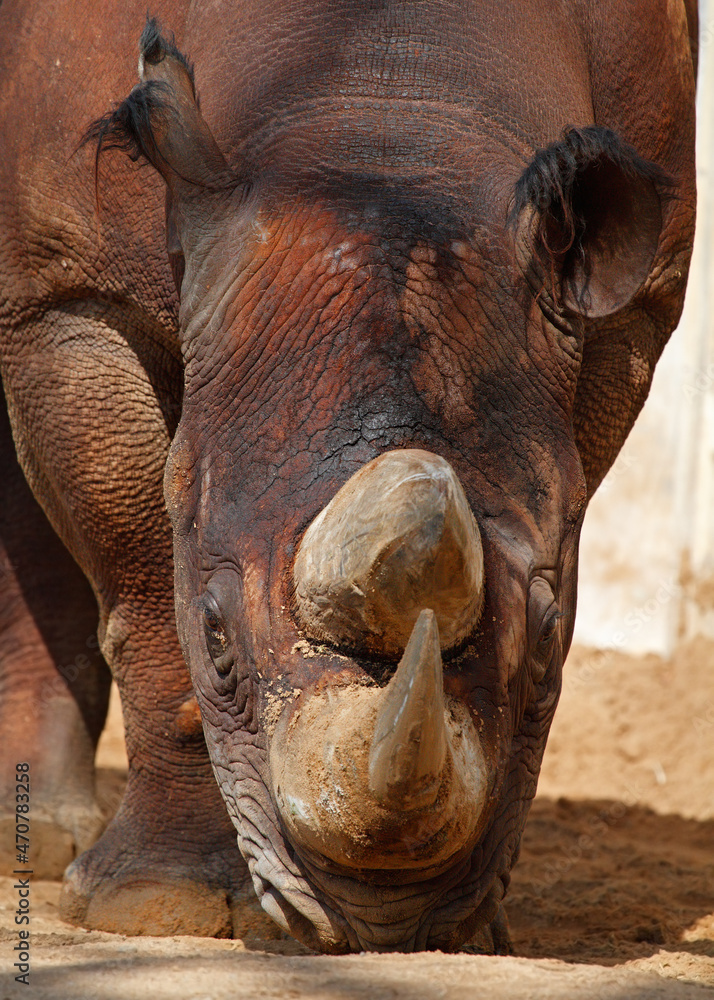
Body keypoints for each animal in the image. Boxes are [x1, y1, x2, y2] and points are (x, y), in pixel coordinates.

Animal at [0, 0, 696, 954]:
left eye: (551, 639)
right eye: (216, 638)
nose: (384, 920)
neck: (387, 125)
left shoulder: (631, 310)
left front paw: (487, 928)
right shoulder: (64, 288)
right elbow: (142, 580)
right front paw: (154, 902)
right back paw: (39, 849)